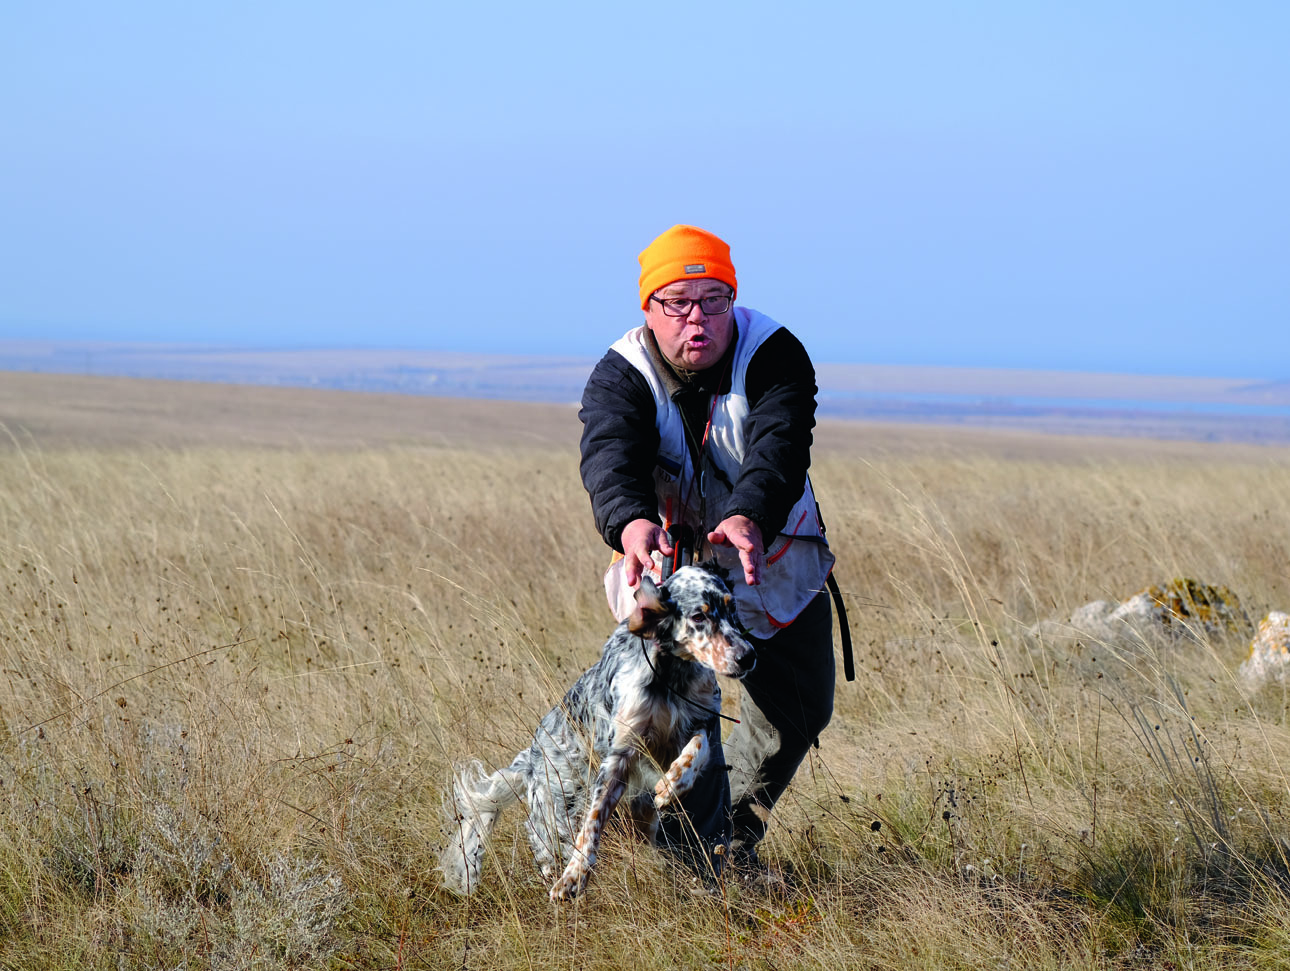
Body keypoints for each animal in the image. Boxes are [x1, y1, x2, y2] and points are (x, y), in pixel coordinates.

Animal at [441, 559, 753, 902]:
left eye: (732, 608)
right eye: (699, 616)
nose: (748, 656)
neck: (671, 674)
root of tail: (532, 755)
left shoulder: (701, 718)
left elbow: (698, 747)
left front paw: (672, 784)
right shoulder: (619, 754)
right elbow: (591, 825)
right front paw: (572, 878)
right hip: (558, 803)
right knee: (543, 836)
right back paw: (551, 869)